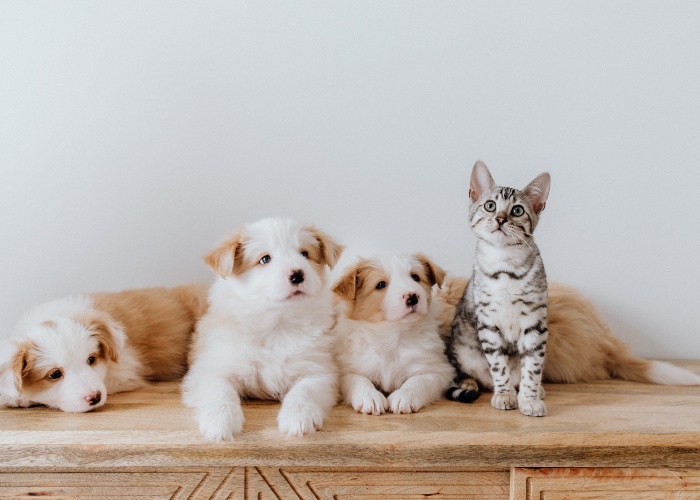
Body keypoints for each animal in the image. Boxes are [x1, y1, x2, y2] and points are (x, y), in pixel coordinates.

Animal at [180, 218, 344, 442]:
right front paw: (220, 421)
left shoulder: (319, 369)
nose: (297, 274)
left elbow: (304, 390)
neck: (278, 325)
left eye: (305, 254)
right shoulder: (211, 368)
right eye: (264, 259)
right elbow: (220, 390)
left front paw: (299, 418)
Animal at [332, 254, 456, 414]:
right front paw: (370, 396)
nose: (413, 297)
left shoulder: (439, 370)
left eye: (415, 277)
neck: (392, 335)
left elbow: (418, 380)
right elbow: (358, 380)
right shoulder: (346, 369)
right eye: (380, 284)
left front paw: (404, 396)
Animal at [448, 162, 552, 416]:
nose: (500, 219)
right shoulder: (488, 324)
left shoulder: (535, 323)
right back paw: (470, 382)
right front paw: (504, 395)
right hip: (461, 347)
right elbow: (498, 365)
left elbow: (532, 367)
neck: (505, 266)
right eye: (490, 205)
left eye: (517, 210)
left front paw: (529, 398)